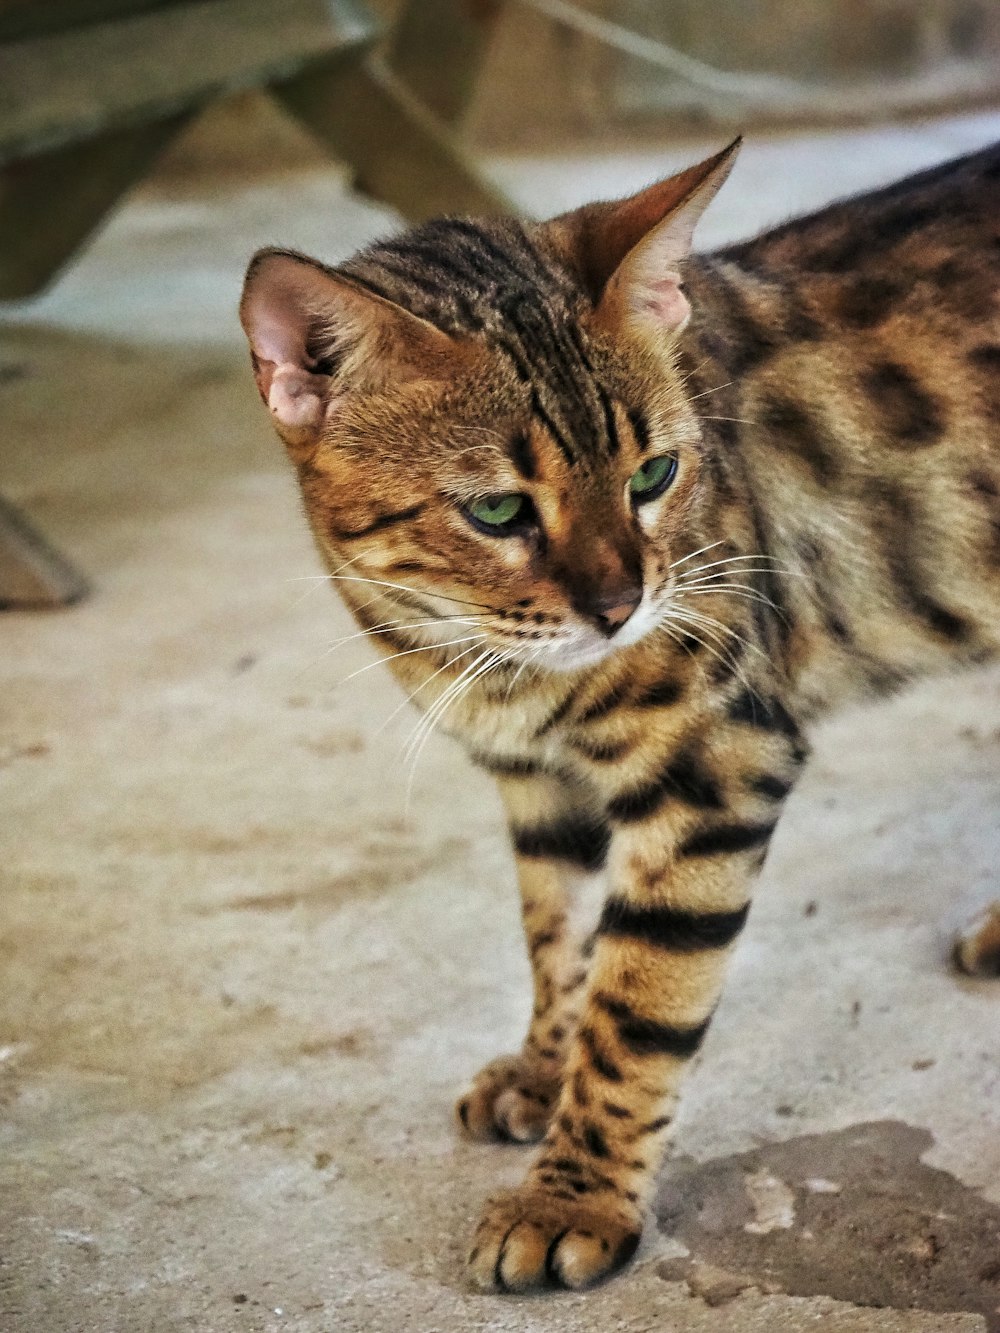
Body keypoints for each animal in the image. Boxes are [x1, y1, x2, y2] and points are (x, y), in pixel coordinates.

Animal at [241, 137, 1000, 1290]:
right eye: (497, 509)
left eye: (655, 474)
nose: (620, 605)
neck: (492, 669)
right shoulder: (537, 784)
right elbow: (558, 937)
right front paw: (541, 1068)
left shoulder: (713, 761)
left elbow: (636, 1000)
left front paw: (573, 1195)